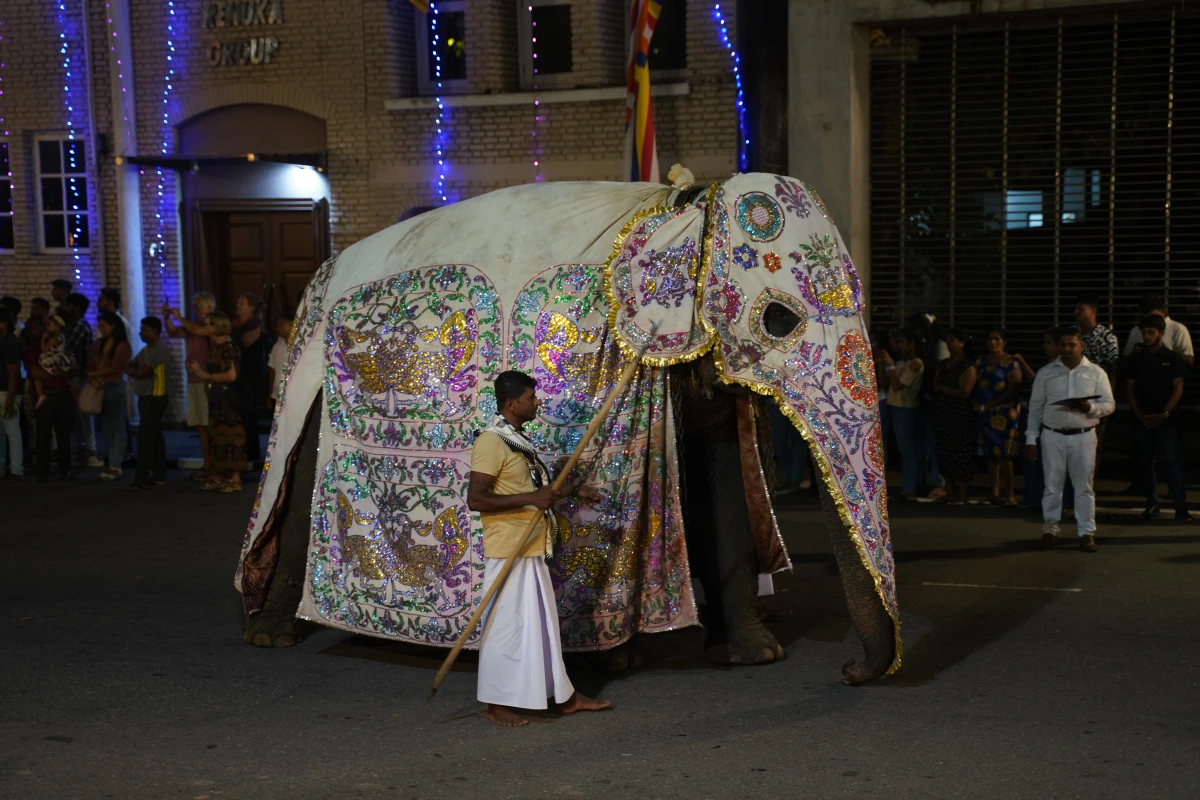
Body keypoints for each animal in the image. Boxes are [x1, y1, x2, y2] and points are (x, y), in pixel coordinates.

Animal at [238, 172, 902, 686]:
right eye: (779, 319)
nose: (850, 672)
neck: (679, 204)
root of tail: (322, 273)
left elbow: (725, 489)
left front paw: (755, 655)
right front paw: (615, 660)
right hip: (311, 393)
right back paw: (273, 637)